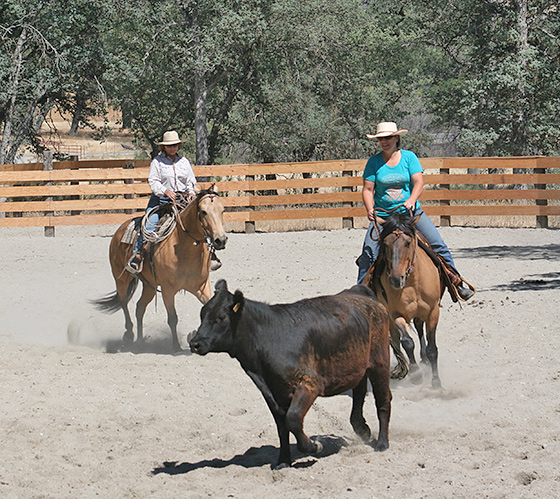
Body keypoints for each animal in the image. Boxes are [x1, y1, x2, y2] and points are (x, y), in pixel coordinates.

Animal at [94, 184, 228, 352]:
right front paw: (176, 346)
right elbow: (172, 318)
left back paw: (140, 341)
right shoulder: (167, 289)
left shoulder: (201, 286)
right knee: (124, 302)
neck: (184, 247)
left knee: (140, 308)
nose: (220, 240)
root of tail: (120, 230)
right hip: (121, 278)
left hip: (149, 285)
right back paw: (129, 335)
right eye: (203, 211)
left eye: (222, 210)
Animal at [188, 282, 390, 468]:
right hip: (358, 366)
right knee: (359, 392)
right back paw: (362, 428)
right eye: (202, 315)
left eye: (220, 317)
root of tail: (360, 292)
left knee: (383, 401)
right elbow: (282, 427)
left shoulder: (309, 385)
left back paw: (382, 443)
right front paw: (284, 461)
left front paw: (314, 446)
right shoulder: (273, 395)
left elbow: (292, 419)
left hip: (380, 364)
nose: (195, 343)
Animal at [364, 213, 446, 388]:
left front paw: (436, 382)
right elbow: (407, 342)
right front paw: (416, 375)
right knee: (397, 339)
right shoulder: (395, 313)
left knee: (419, 328)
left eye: (408, 243)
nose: (396, 279)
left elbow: (432, 349)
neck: (413, 283)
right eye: (385, 244)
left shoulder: (433, 311)